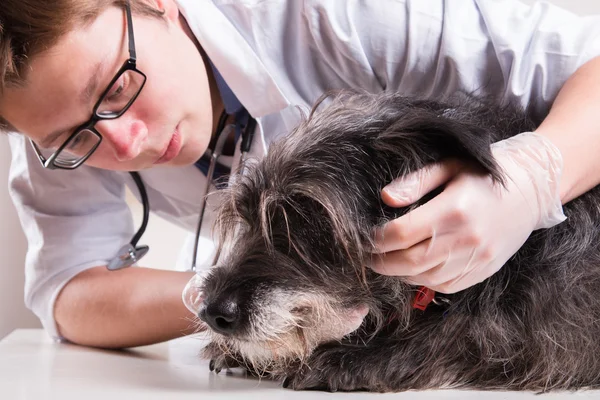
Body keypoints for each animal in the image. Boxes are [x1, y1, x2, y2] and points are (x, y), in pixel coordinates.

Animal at [193, 90, 600, 390]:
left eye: (306, 218)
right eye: (247, 216)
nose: (212, 312)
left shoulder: (524, 338)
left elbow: (448, 336)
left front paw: (348, 358)